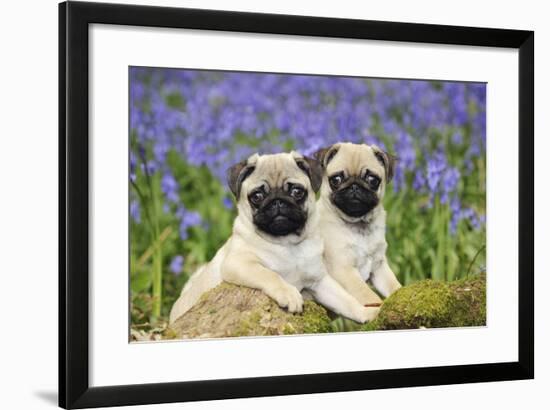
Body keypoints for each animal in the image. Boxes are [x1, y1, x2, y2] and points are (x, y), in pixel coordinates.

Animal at [170, 152, 382, 326]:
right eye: (257, 196)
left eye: (297, 192)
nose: (277, 201)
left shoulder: (320, 282)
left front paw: (367, 313)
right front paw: (289, 294)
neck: (287, 244)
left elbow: (346, 301)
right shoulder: (238, 263)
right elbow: (269, 274)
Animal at [314, 143, 406, 306]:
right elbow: (367, 295)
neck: (359, 224)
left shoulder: (379, 267)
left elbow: (393, 286)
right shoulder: (344, 270)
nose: (354, 186)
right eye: (336, 179)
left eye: (372, 179)